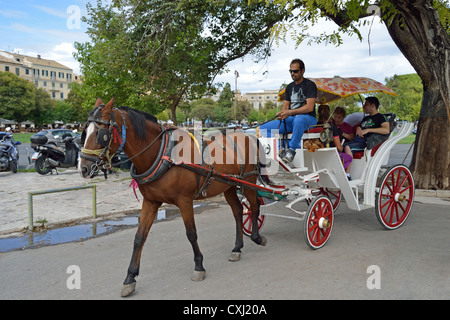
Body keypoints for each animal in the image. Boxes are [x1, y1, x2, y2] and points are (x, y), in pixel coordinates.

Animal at [78, 98, 270, 298]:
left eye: (100, 134)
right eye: (84, 132)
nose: (83, 168)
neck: (162, 153)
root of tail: (247, 136)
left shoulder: (184, 200)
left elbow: (191, 233)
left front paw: (199, 266)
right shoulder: (151, 201)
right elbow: (139, 237)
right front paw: (130, 278)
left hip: (249, 180)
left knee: (254, 207)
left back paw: (257, 237)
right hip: (229, 186)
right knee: (239, 211)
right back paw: (237, 248)